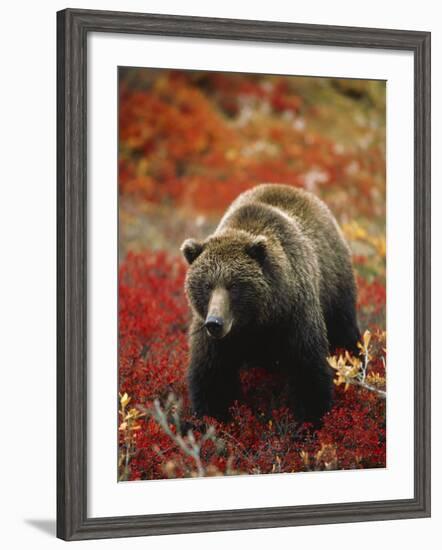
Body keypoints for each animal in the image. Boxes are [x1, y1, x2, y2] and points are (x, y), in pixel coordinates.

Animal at [180, 183, 360, 424]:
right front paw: (215, 418)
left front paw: (311, 418)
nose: (215, 323)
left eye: (233, 285)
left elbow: (308, 369)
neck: (256, 321)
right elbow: (212, 376)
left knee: (345, 332)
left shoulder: (294, 315)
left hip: (335, 287)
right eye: (207, 285)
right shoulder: (212, 335)